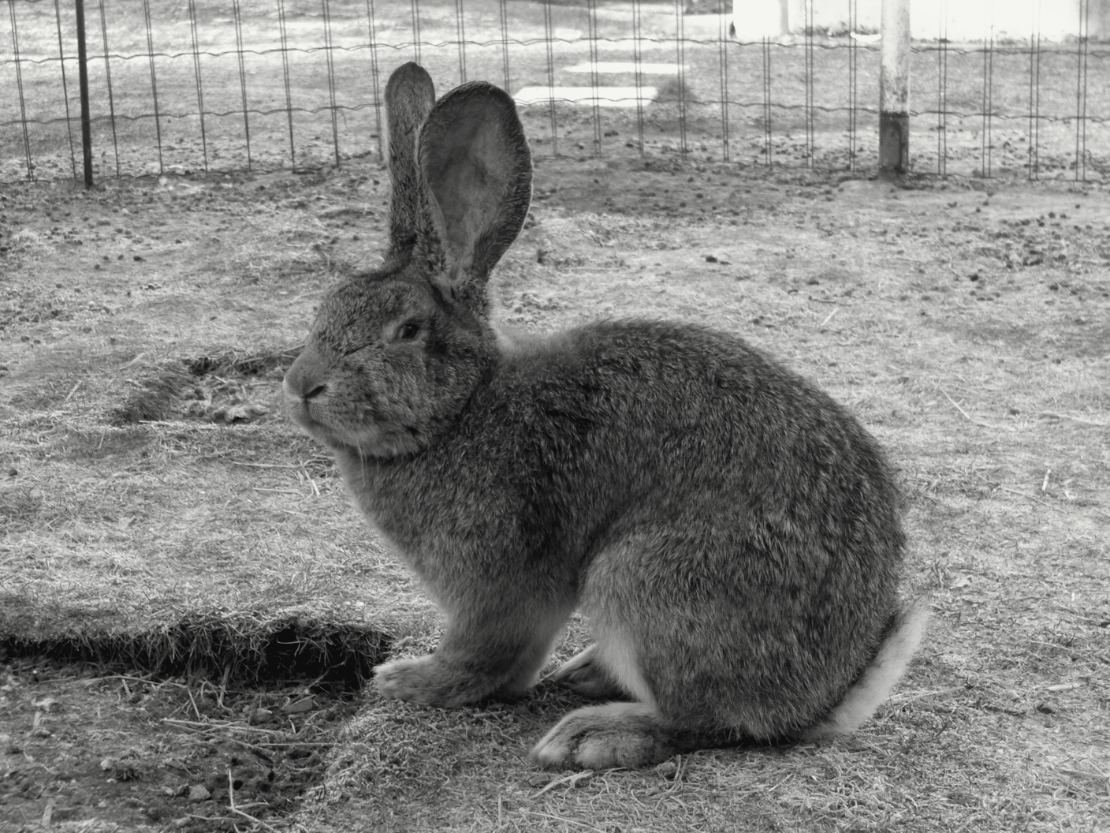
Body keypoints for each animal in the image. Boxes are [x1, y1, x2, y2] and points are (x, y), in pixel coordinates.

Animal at [283, 61, 928, 770]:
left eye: (406, 330)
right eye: (326, 307)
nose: (301, 386)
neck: (462, 411)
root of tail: (820, 702)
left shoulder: (496, 583)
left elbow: (485, 657)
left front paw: (410, 680)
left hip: (644, 582)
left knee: (706, 723)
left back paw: (592, 734)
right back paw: (588, 674)